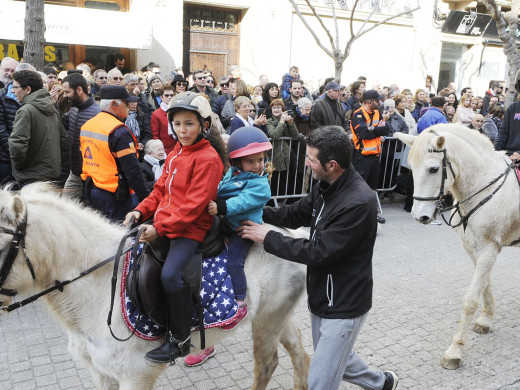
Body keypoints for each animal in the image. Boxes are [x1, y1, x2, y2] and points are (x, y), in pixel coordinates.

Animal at [0, 184, 308, 390]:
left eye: (2, 247)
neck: (97, 293)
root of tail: (292, 235)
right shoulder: (101, 374)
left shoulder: (134, 376)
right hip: (276, 316)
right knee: (300, 353)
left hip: (267, 321)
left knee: (266, 365)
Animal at [394, 125, 520, 368]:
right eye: (411, 168)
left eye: (434, 169)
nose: (420, 216)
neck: (483, 185)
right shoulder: (473, 247)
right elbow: (484, 284)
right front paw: (486, 319)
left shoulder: (489, 249)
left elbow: (470, 300)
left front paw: (455, 351)